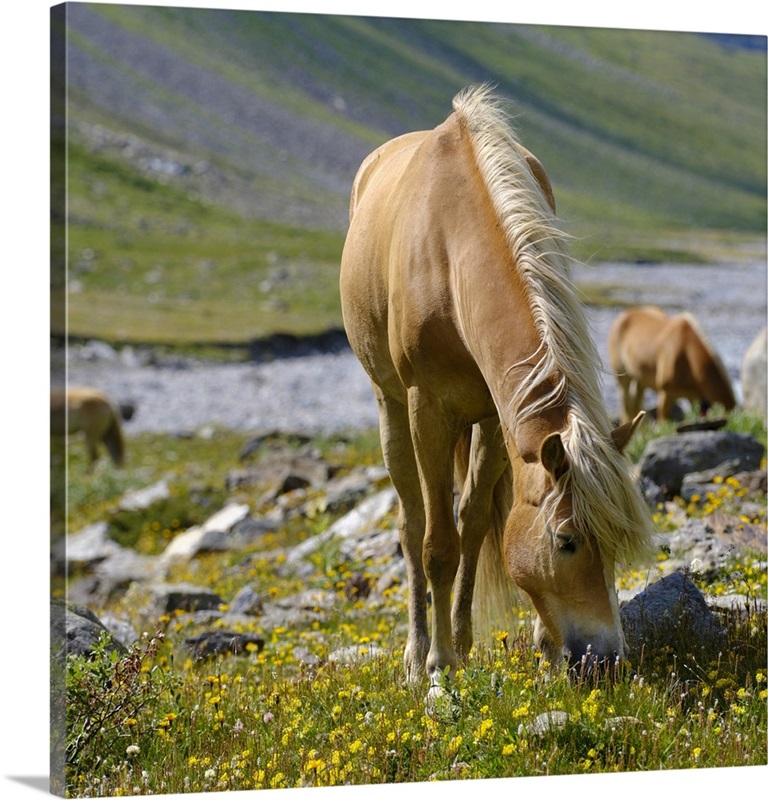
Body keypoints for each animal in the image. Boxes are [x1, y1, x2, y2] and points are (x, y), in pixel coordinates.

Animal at [340, 85, 654, 687]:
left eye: (615, 541)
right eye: (566, 541)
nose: (606, 662)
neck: (449, 249)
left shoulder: (492, 413)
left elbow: (474, 523)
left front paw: (478, 645)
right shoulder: (429, 410)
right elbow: (438, 543)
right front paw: (439, 663)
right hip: (390, 405)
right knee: (412, 524)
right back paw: (417, 652)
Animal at [608, 305, 736, 424]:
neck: (686, 352)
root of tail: (625, 314)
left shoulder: (693, 398)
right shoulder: (666, 395)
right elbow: (663, 422)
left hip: (641, 381)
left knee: (636, 407)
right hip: (623, 379)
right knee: (627, 408)